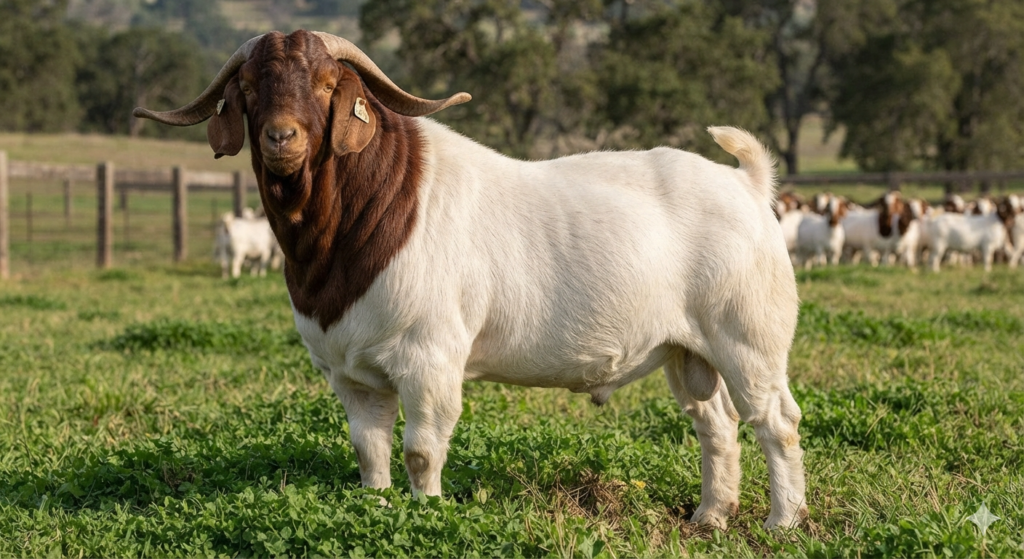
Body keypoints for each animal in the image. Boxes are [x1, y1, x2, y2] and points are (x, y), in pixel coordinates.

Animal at [133, 30, 806, 530]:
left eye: (327, 84)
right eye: (249, 87)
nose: (281, 138)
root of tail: (747, 184)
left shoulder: (430, 357)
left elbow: (420, 449)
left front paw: (427, 515)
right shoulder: (349, 372)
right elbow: (369, 451)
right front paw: (375, 510)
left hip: (748, 337)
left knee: (775, 420)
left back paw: (782, 523)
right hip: (688, 350)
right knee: (716, 424)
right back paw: (709, 517)